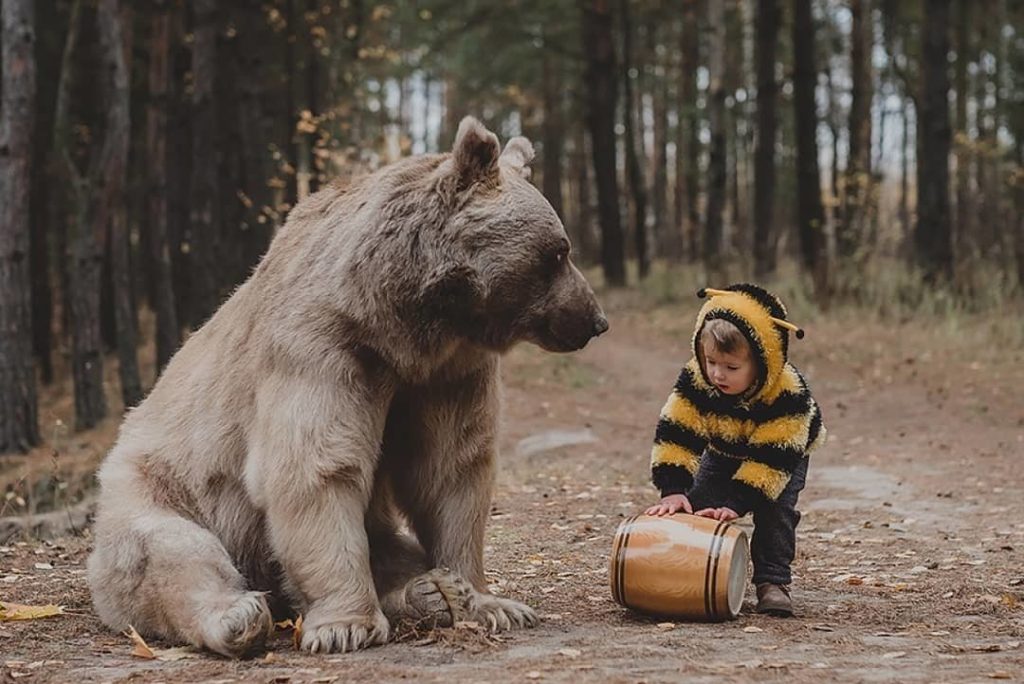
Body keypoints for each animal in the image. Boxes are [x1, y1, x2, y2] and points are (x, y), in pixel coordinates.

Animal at [88, 118, 606, 655]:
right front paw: (345, 625)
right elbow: (317, 466)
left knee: (389, 548)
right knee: (172, 552)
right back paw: (239, 616)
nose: (594, 320)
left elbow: (451, 469)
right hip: (159, 488)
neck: (404, 326)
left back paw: (429, 592)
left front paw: (490, 602)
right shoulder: (324, 347)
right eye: (559, 251)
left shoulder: (447, 373)